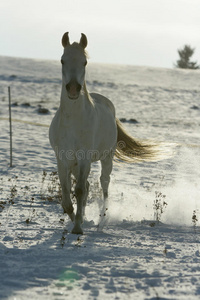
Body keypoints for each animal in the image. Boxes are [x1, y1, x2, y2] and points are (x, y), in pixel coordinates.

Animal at [50, 32, 162, 234]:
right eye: (62, 60)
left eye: (85, 62)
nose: (73, 89)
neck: (72, 122)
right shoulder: (62, 159)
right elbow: (67, 199)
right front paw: (77, 220)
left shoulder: (84, 158)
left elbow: (79, 191)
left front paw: (78, 227)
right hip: (76, 164)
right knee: (87, 186)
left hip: (106, 158)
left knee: (104, 184)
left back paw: (102, 217)